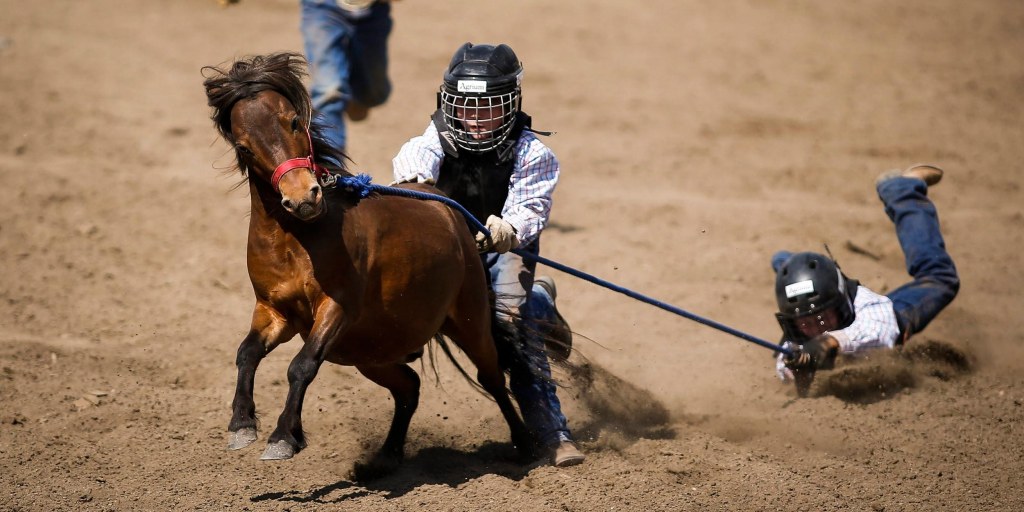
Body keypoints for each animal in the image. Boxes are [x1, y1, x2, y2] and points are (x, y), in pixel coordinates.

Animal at [201, 52, 536, 475]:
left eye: (293, 121)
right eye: (244, 147)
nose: (303, 197)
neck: (300, 240)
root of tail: (448, 210)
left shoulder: (336, 308)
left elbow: (301, 366)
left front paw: (283, 437)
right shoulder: (274, 310)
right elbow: (246, 353)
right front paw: (241, 424)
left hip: (469, 320)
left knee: (492, 378)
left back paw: (526, 445)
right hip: (369, 352)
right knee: (409, 386)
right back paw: (386, 457)